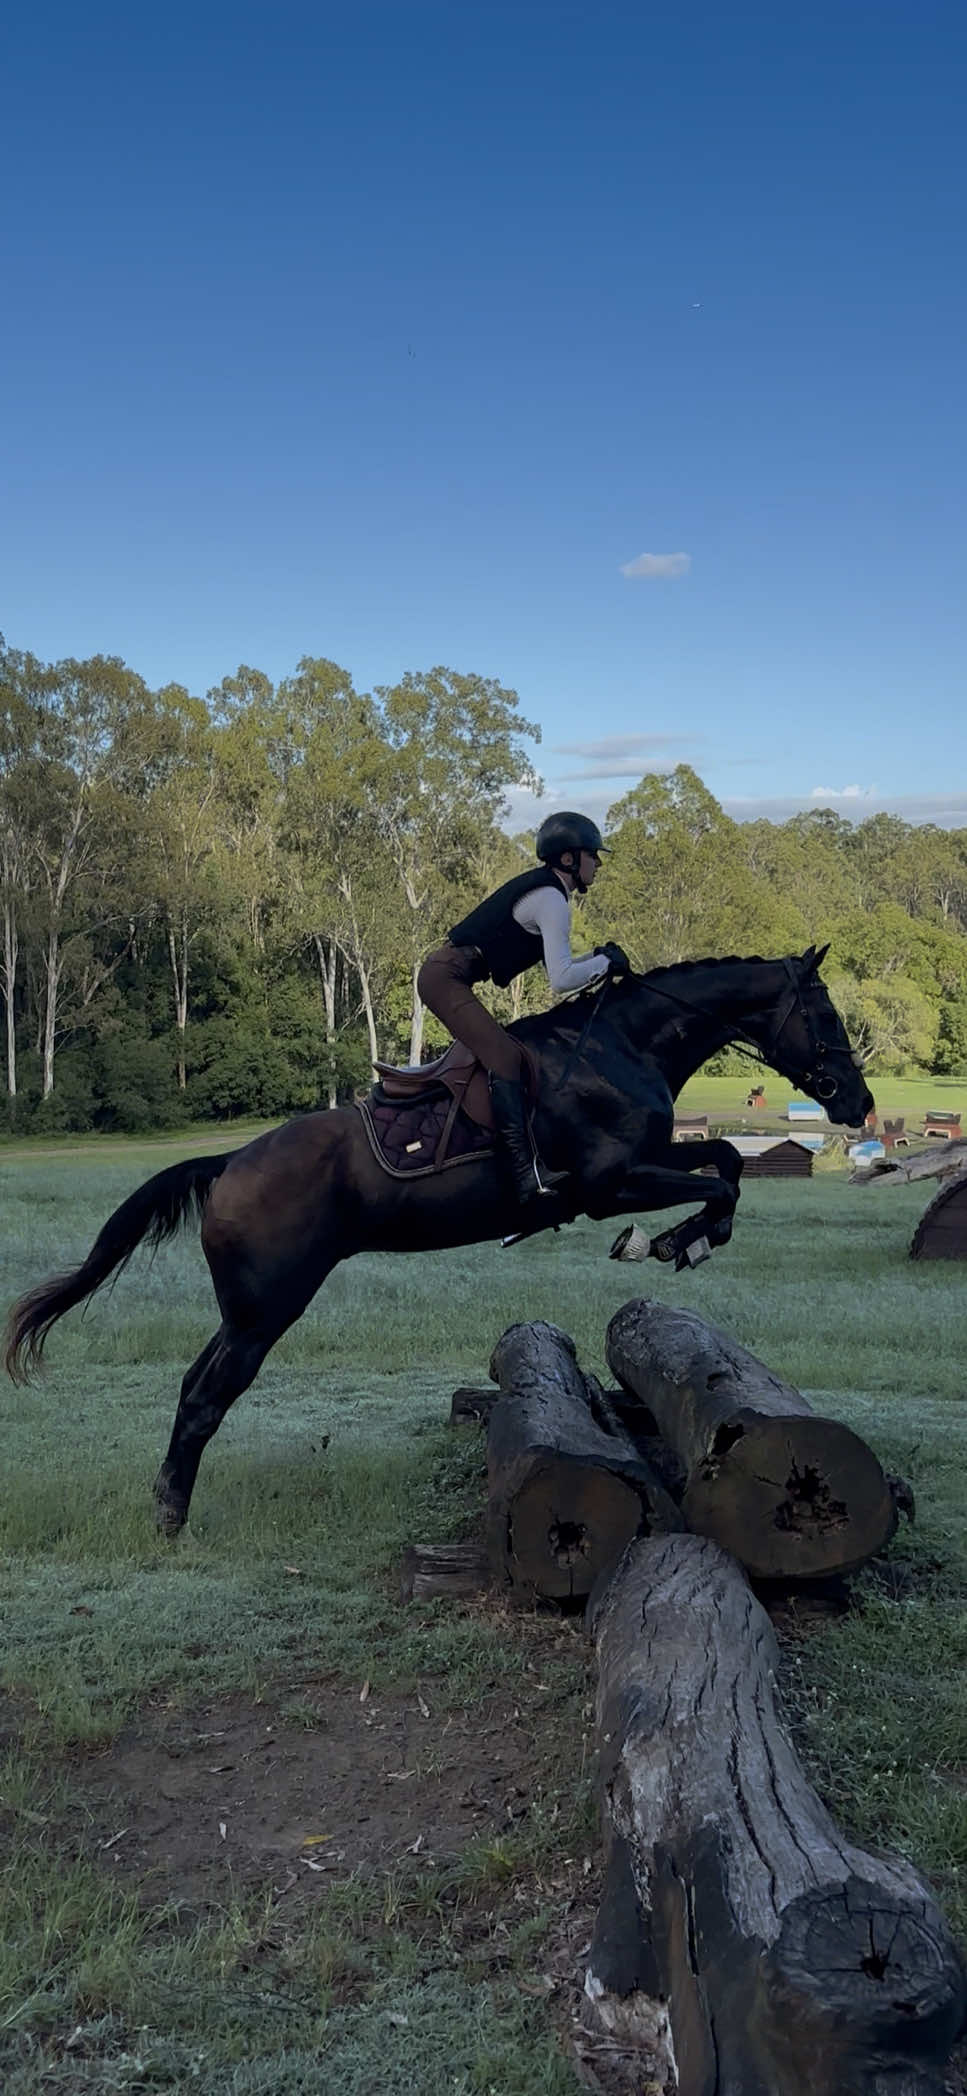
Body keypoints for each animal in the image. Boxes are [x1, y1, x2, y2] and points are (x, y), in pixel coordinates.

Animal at [5, 944, 873, 1534]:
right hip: (266, 1311)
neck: (623, 1044)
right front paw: (670, 1242)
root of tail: (229, 1162)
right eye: (825, 1017)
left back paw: (168, 1501)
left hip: (245, 1312)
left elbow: (722, 1158)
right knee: (203, 1398)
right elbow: (718, 1182)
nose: (856, 1103)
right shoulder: (604, 1184)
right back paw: (172, 1515)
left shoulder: (645, 1160)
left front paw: (685, 1239)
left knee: (195, 1385)